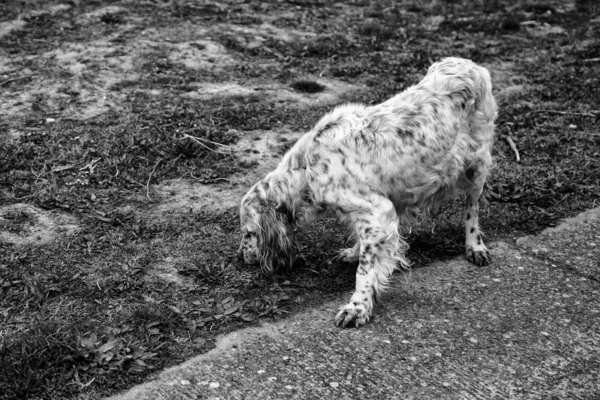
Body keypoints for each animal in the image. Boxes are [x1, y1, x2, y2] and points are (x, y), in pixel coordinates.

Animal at [238, 57, 496, 326]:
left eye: (249, 233)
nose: (239, 256)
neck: (307, 168)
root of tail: (470, 65)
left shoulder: (376, 209)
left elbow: (365, 269)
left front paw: (357, 307)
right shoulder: (374, 210)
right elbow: (366, 244)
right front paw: (354, 253)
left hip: (477, 165)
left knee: (472, 210)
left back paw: (475, 247)